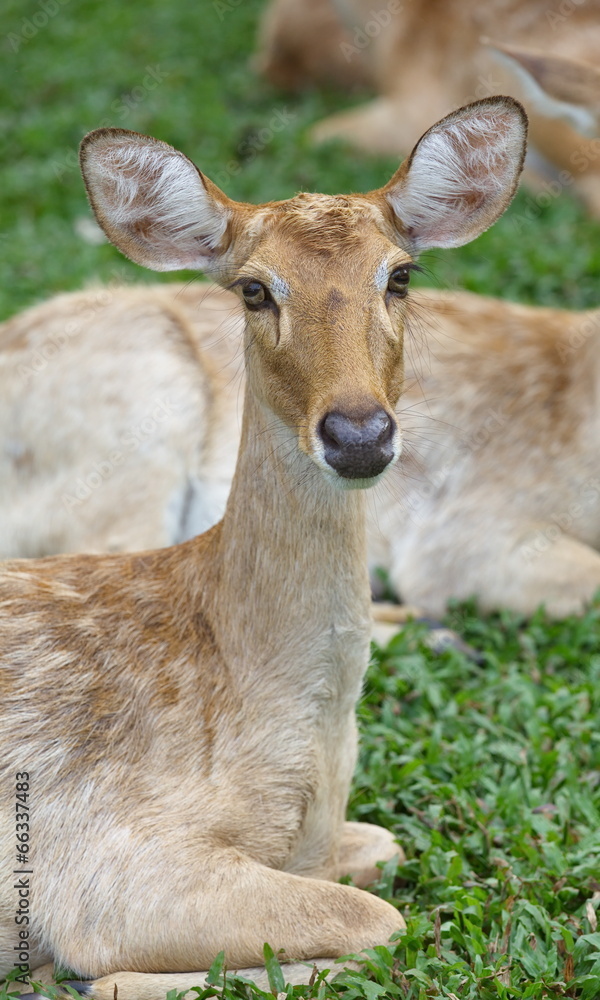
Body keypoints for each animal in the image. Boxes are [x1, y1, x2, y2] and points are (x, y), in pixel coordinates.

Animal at [0, 94, 524, 1000]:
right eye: (254, 289)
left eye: (401, 275)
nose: (359, 433)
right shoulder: (103, 861)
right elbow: (379, 923)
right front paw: (101, 979)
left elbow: (386, 851)